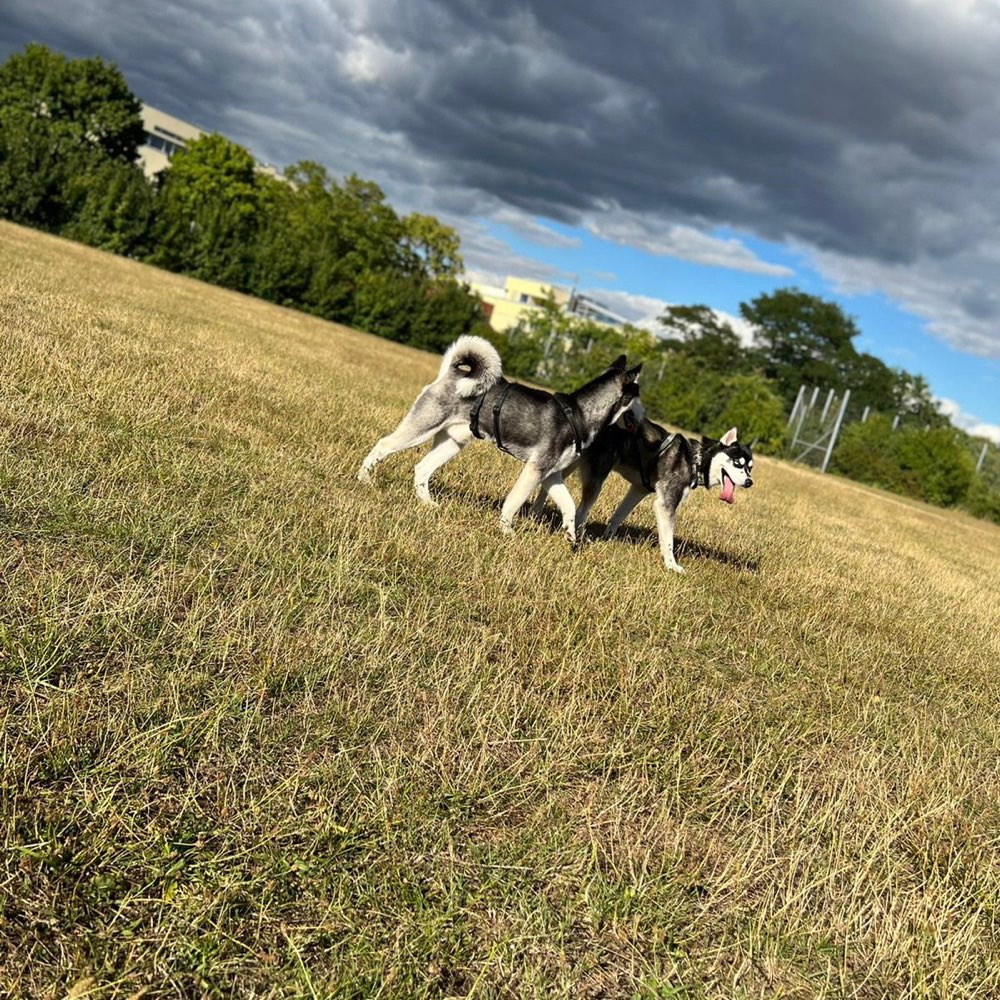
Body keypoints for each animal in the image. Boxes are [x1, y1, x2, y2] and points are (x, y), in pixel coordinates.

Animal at [360, 334, 640, 540]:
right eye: (638, 397)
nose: (644, 420)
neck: (580, 413)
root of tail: (452, 374)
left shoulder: (551, 474)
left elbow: (569, 505)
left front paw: (571, 534)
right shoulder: (534, 470)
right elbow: (514, 502)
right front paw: (506, 530)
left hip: (453, 442)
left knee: (422, 469)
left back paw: (428, 503)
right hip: (421, 427)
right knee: (383, 445)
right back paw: (364, 479)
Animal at [548, 406, 752, 576]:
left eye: (750, 467)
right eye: (737, 463)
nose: (750, 482)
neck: (696, 460)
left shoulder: (638, 490)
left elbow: (618, 516)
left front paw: (608, 538)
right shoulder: (666, 504)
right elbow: (668, 541)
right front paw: (671, 565)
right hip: (596, 477)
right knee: (582, 511)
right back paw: (578, 535)